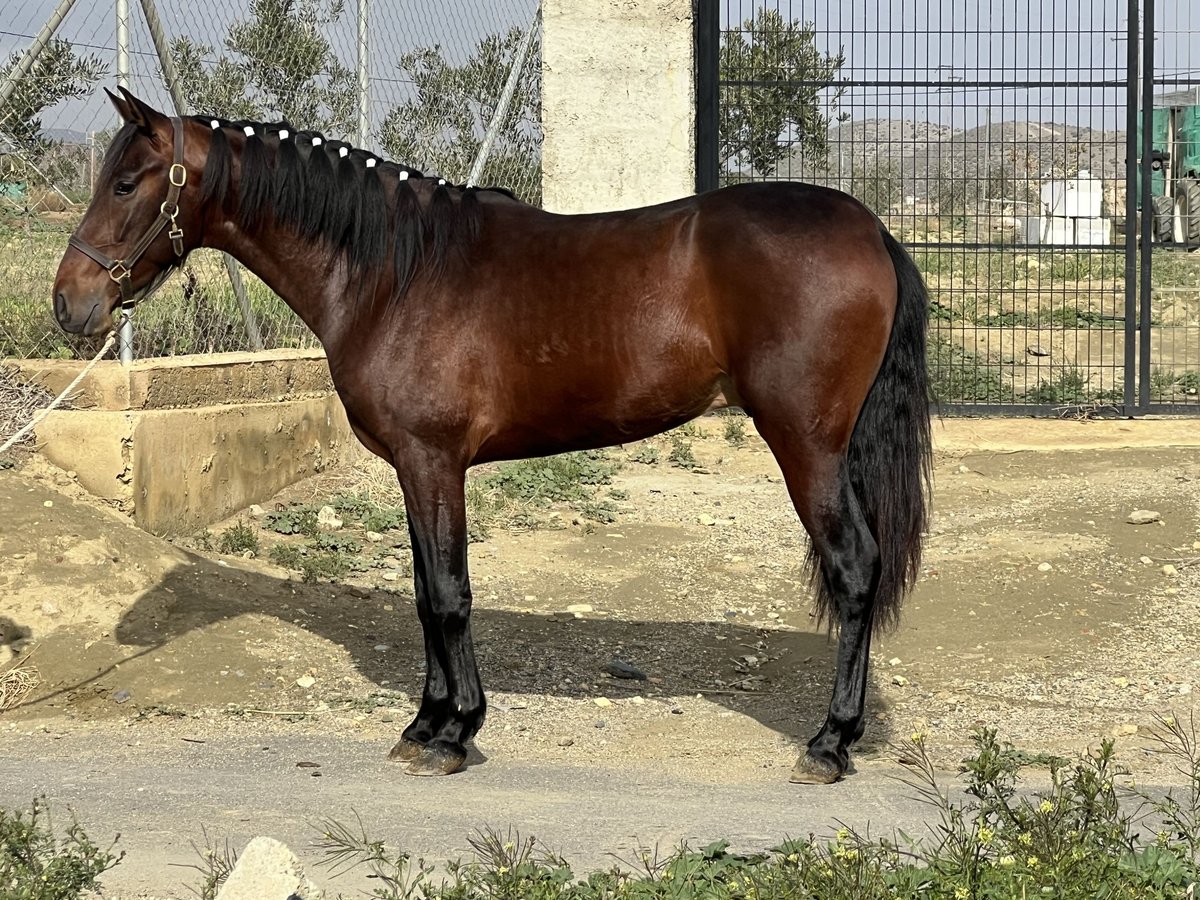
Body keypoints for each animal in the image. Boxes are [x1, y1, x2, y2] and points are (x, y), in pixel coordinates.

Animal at [51, 88, 931, 787]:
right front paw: (425, 723)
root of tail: (870, 229)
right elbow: (423, 593)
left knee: (856, 570)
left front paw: (455, 733)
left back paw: (828, 743)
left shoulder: (434, 460)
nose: (69, 304)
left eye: (125, 183)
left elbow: (449, 595)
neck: (395, 272)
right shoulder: (414, 468)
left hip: (806, 446)